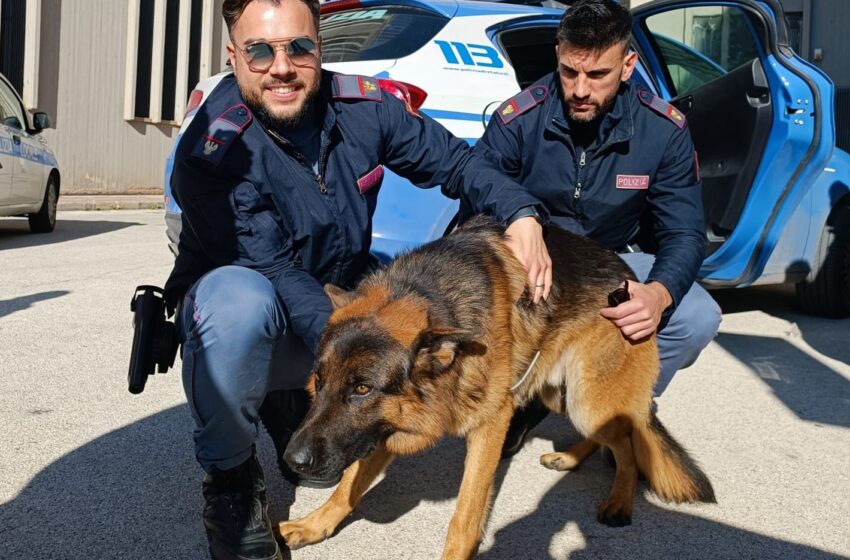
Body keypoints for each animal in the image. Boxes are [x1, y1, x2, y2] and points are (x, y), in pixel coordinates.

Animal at [278, 217, 708, 556]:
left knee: (626, 440)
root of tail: (630, 279)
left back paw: (619, 499)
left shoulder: (490, 425)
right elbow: (347, 487)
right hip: (558, 394)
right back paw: (568, 458)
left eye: (363, 389)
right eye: (320, 381)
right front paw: (314, 524)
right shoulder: (381, 431)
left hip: (588, 401)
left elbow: (465, 515)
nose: (292, 461)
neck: (429, 295)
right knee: (608, 434)